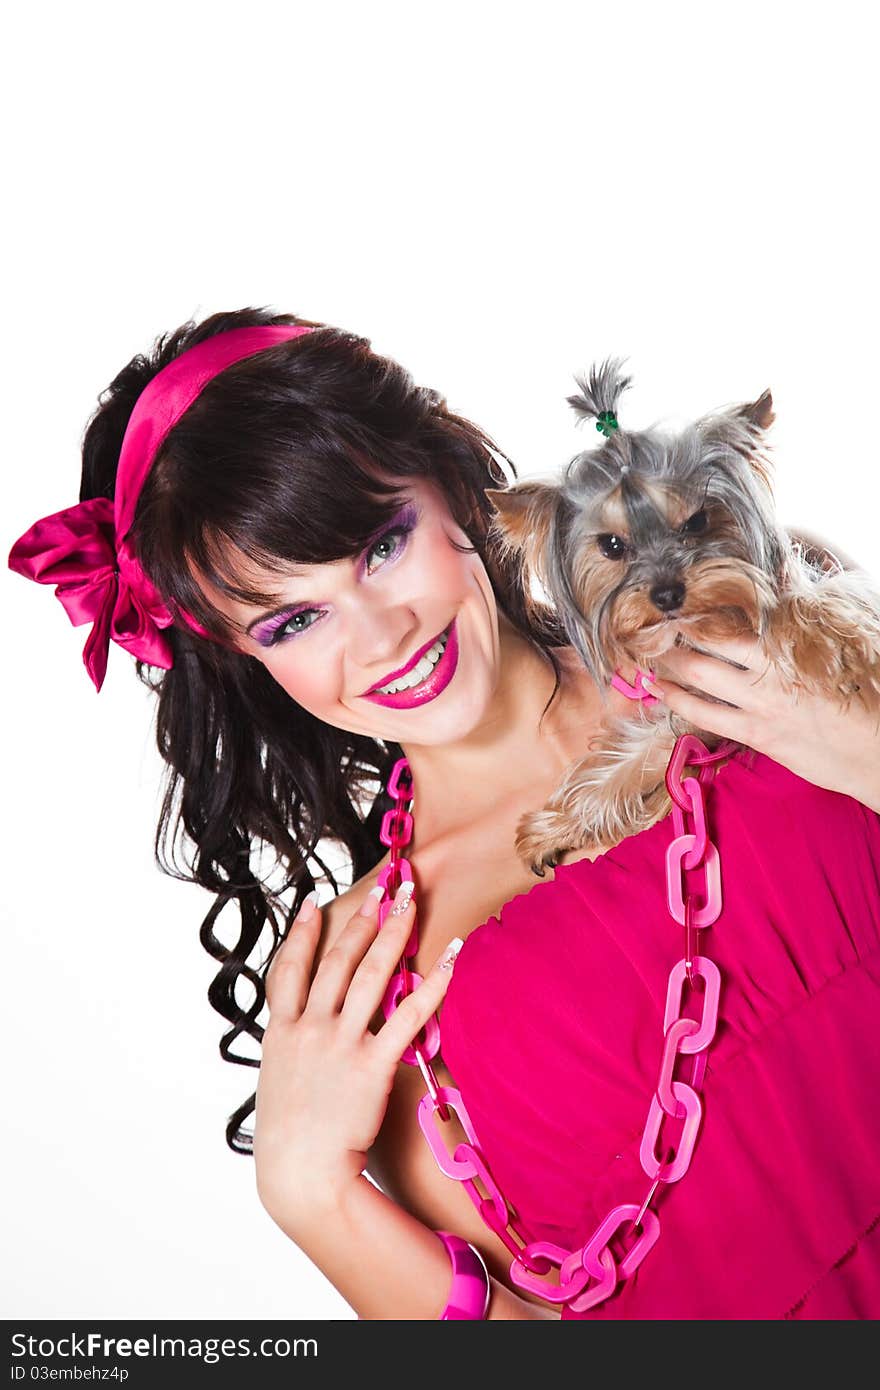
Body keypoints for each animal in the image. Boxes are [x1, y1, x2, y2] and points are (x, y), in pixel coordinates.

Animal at [486, 364, 878, 872]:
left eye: (696, 522)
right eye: (612, 545)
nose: (667, 593)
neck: (708, 625)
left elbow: (805, 604)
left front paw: (833, 648)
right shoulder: (696, 711)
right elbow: (642, 753)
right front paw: (552, 827)